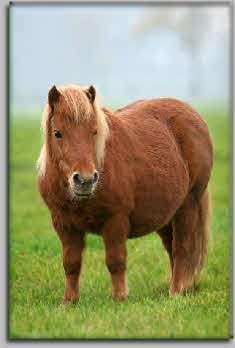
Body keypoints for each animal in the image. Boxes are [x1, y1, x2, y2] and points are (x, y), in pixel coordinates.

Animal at [36, 83, 213, 302]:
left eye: (94, 132)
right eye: (57, 133)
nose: (85, 180)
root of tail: (192, 113)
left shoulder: (115, 220)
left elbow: (115, 260)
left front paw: (119, 298)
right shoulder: (64, 225)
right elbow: (71, 263)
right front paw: (70, 301)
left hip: (188, 205)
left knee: (182, 248)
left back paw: (176, 292)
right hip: (166, 216)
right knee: (171, 248)